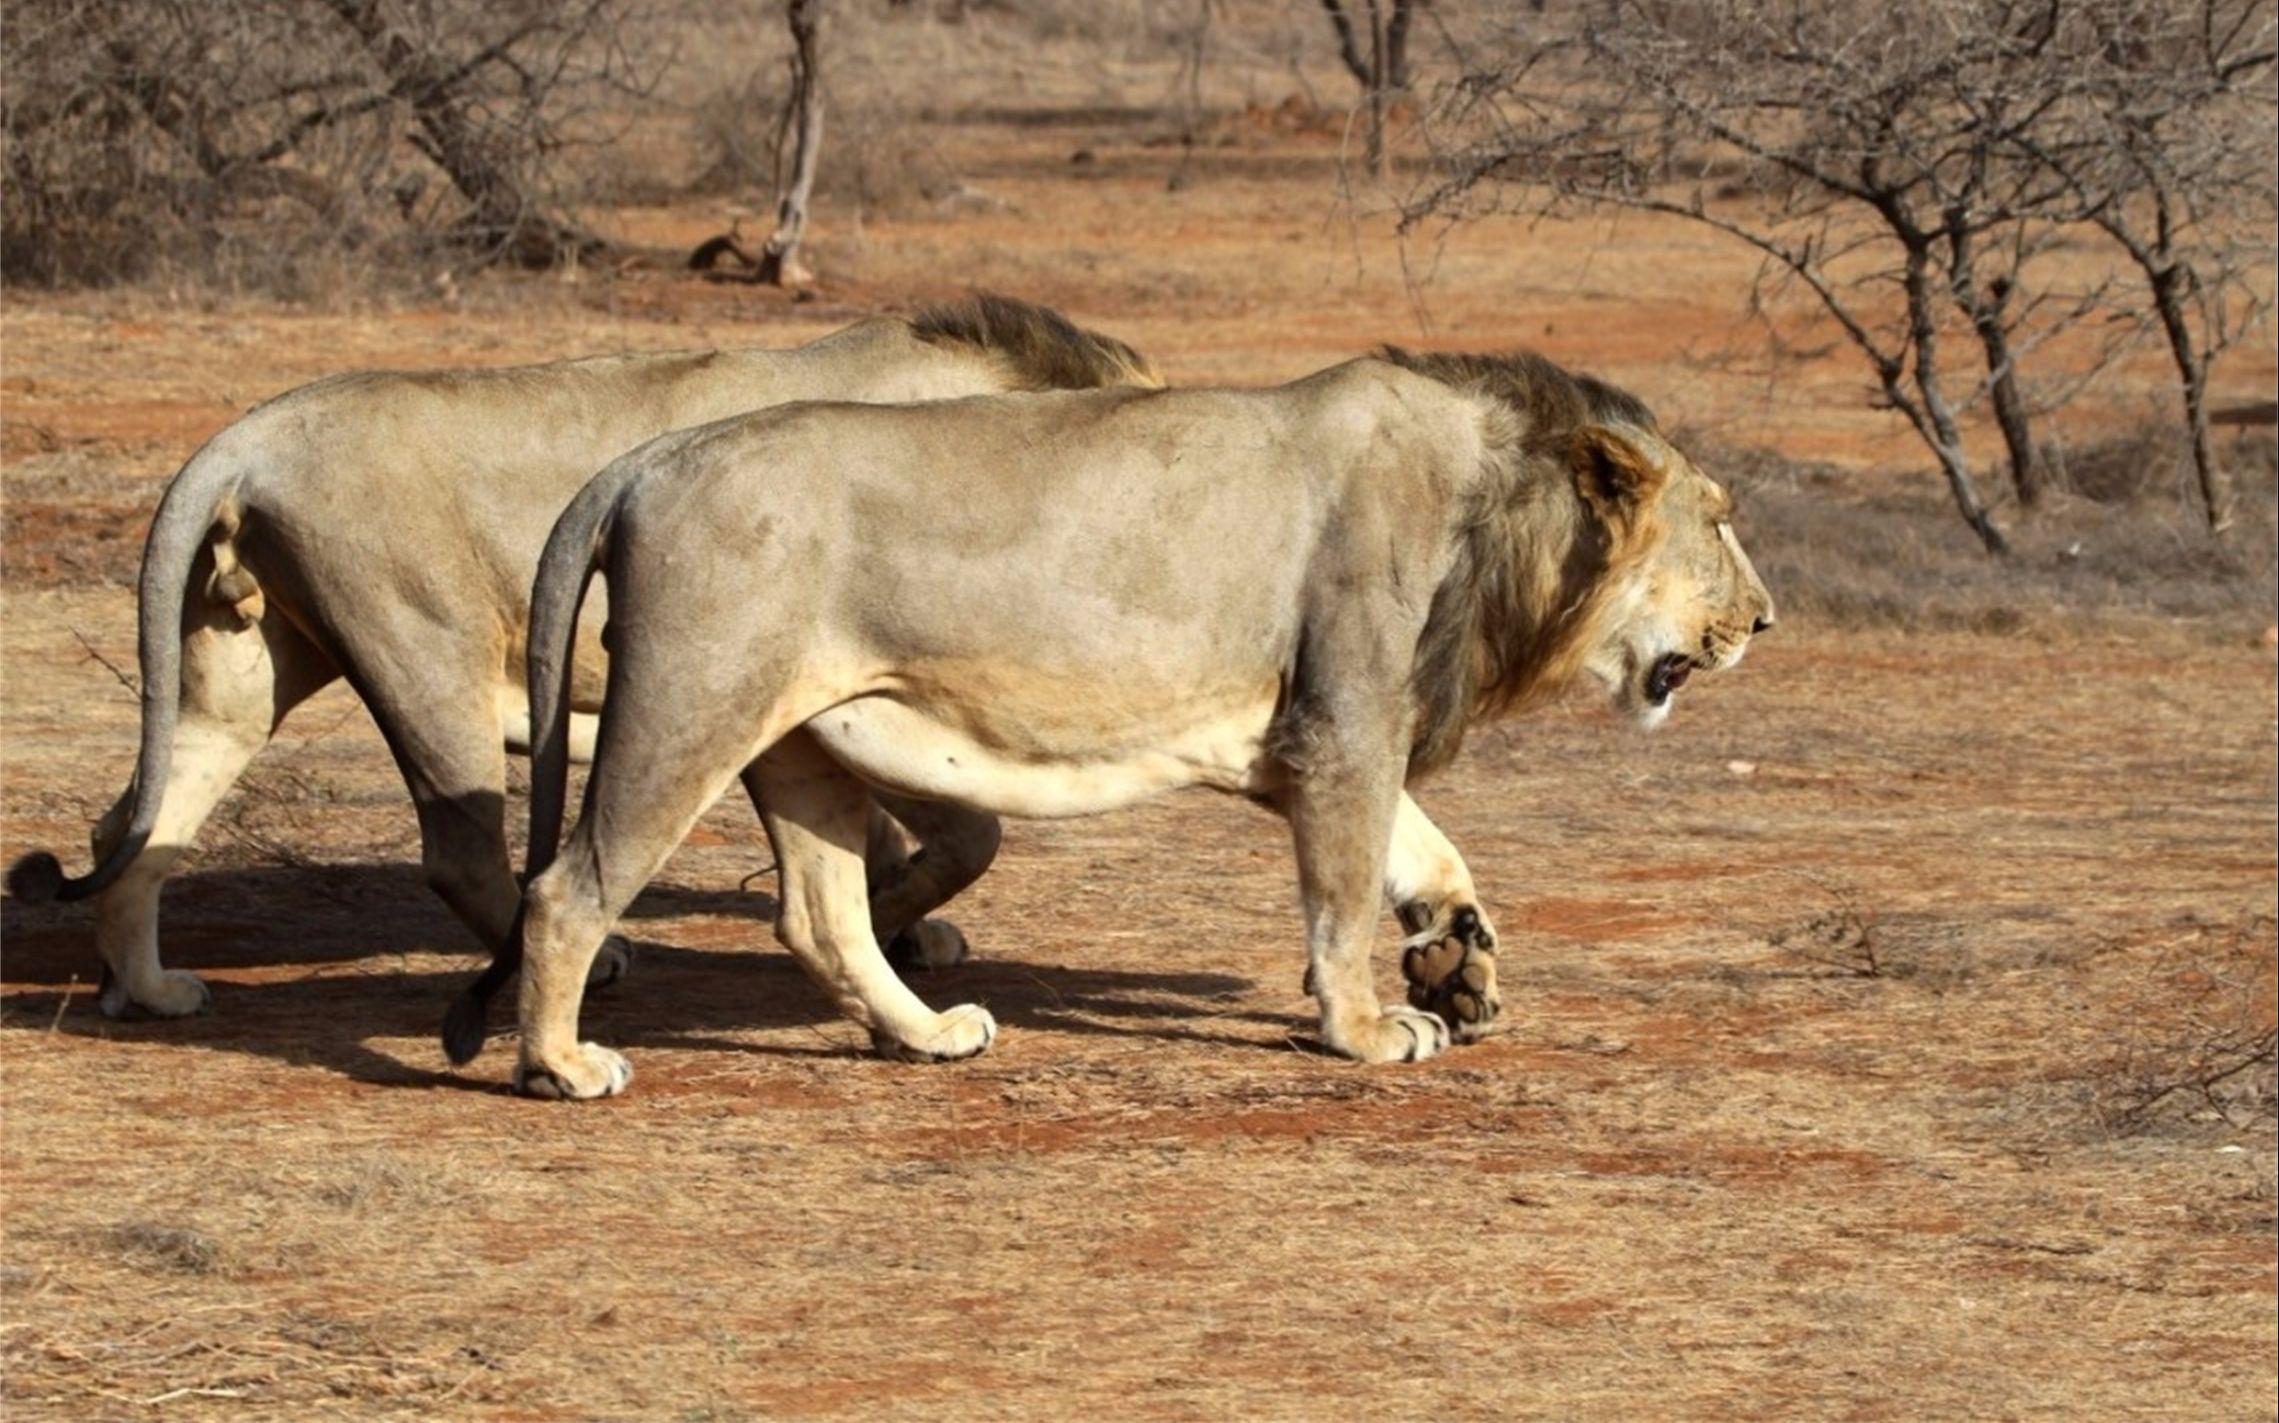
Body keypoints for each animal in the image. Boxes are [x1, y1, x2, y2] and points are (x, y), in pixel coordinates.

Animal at [8, 294, 1175, 1017]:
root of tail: (243, 437)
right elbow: (968, 835)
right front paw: (888, 926)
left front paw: (899, 929)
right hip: (425, 650)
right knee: (461, 850)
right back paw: (597, 960)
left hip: (245, 668)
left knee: (137, 823)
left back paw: (148, 992)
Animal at [480, 346, 1768, 1099]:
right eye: (1716, 519)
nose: (1763, 617)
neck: (1498, 519)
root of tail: (644, 458)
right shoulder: (1341, 728)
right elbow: (1346, 896)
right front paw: (1367, 1030)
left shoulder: (1324, 737)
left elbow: (1427, 850)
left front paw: (1459, 962)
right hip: (687, 709)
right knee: (567, 890)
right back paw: (560, 1064)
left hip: (798, 742)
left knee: (820, 916)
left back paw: (926, 1034)